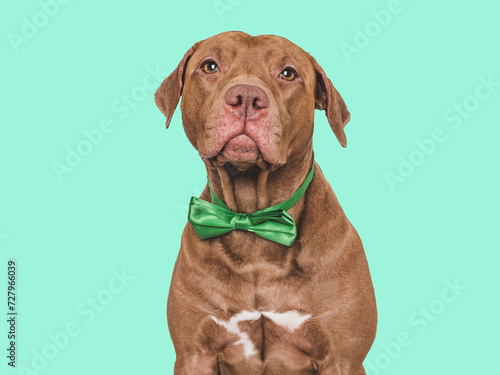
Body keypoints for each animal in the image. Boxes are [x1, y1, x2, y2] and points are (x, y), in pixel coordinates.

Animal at [154, 30, 376, 374]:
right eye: (210, 66)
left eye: (288, 73)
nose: (246, 96)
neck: (254, 220)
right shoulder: (194, 353)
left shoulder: (343, 358)